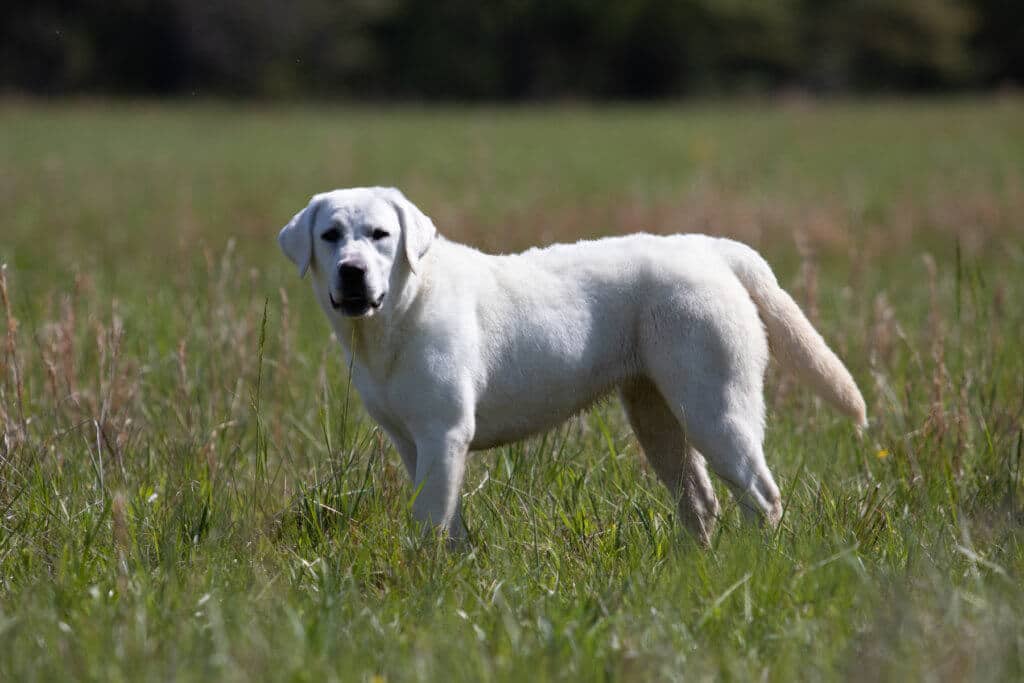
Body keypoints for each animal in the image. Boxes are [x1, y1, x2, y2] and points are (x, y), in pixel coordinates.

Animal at [278, 187, 864, 544]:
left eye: (380, 235)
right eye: (331, 236)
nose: (352, 272)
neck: (401, 310)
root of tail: (710, 248)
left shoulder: (443, 435)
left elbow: (429, 523)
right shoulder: (412, 442)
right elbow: (449, 522)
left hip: (716, 409)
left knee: (762, 498)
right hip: (655, 416)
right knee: (700, 502)